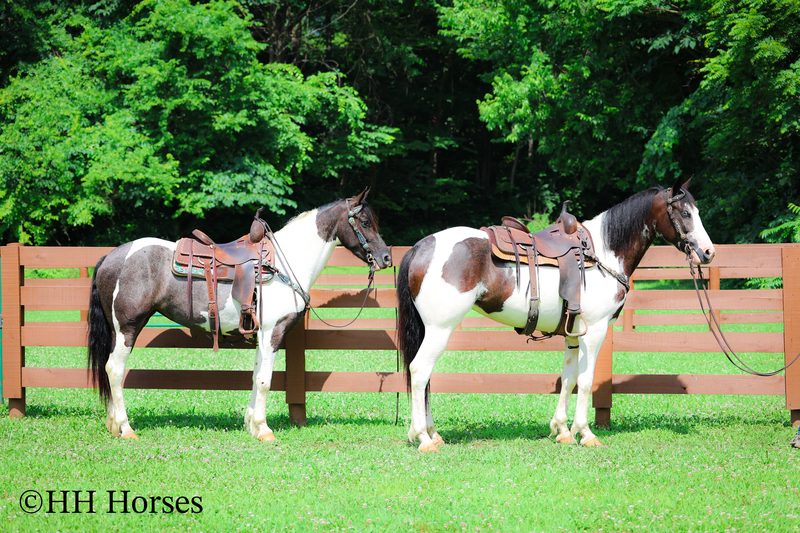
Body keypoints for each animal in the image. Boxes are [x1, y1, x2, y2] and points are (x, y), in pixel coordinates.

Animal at [87, 190, 392, 442]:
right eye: (365, 222)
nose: (386, 258)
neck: (285, 264)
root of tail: (112, 257)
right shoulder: (272, 332)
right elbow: (265, 380)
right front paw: (264, 430)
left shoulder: (261, 335)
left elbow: (256, 376)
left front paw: (252, 425)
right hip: (128, 327)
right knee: (115, 369)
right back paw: (126, 429)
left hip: (116, 331)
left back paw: (113, 425)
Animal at [396, 179, 716, 452]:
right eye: (685, 212)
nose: (709, 252)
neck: (604, 254)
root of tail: (421, 247)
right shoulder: (595, 332)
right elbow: (586, 381)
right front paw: (585, 433)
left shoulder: (573, 335)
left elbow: (569, 379)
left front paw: (562, 430)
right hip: (440, 329)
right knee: (419, 371)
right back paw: (423, 437)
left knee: (424, 378)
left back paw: (432, 433)